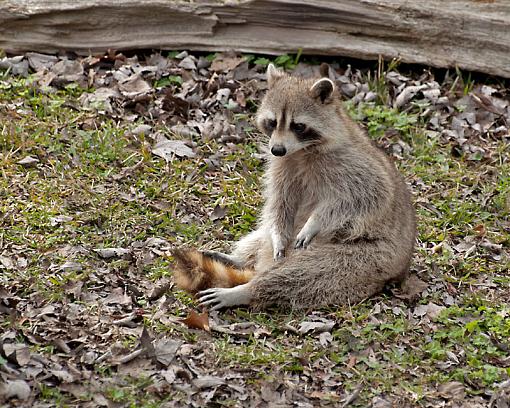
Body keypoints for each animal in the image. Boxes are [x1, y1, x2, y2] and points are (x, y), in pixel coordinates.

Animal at [173, 63, 416, 310]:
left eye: (298, 126)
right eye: (272, 122)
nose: (277, 149)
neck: (301, 151)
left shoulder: (354, 165)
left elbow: (363, 197)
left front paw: (316, 221)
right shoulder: (282, 166)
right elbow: (280, 204)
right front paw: (276, 236)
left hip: (369, 259)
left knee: (312, 272)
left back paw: (247, 290)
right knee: (263, 237)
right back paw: (239, 259)